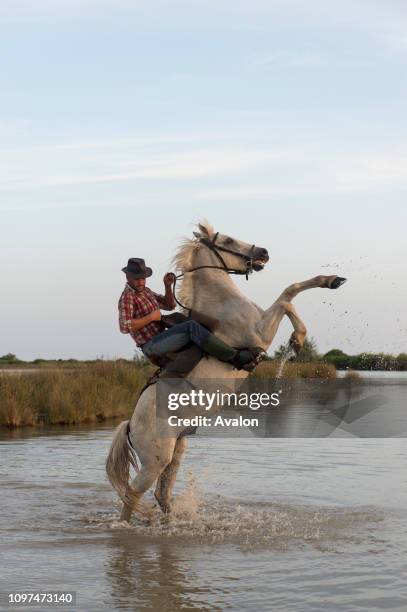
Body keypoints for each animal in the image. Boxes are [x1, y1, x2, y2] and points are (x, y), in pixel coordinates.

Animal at [107, 220, 346, 520]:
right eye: (229, 241)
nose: (264, 252)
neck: (222, 305)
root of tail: (130, 426)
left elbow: (289, 298)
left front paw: (330, 284)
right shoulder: (260, 332)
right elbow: (287, 294)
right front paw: (299, 336)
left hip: (176, 450)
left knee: (162, 494)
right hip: (155, 461)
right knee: (132, 495)